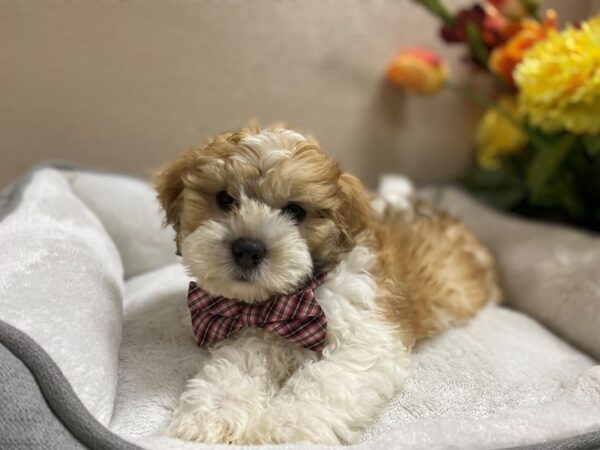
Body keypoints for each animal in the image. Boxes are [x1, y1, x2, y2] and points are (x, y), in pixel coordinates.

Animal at [155, 126, 502, 446]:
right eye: (224, 199)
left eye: (295, 210)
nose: (247, 248)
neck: (291, 298)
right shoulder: (252, 332)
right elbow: (234, 367)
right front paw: (211, 413)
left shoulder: (366, 338)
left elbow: (324, 381)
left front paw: (285, 429)